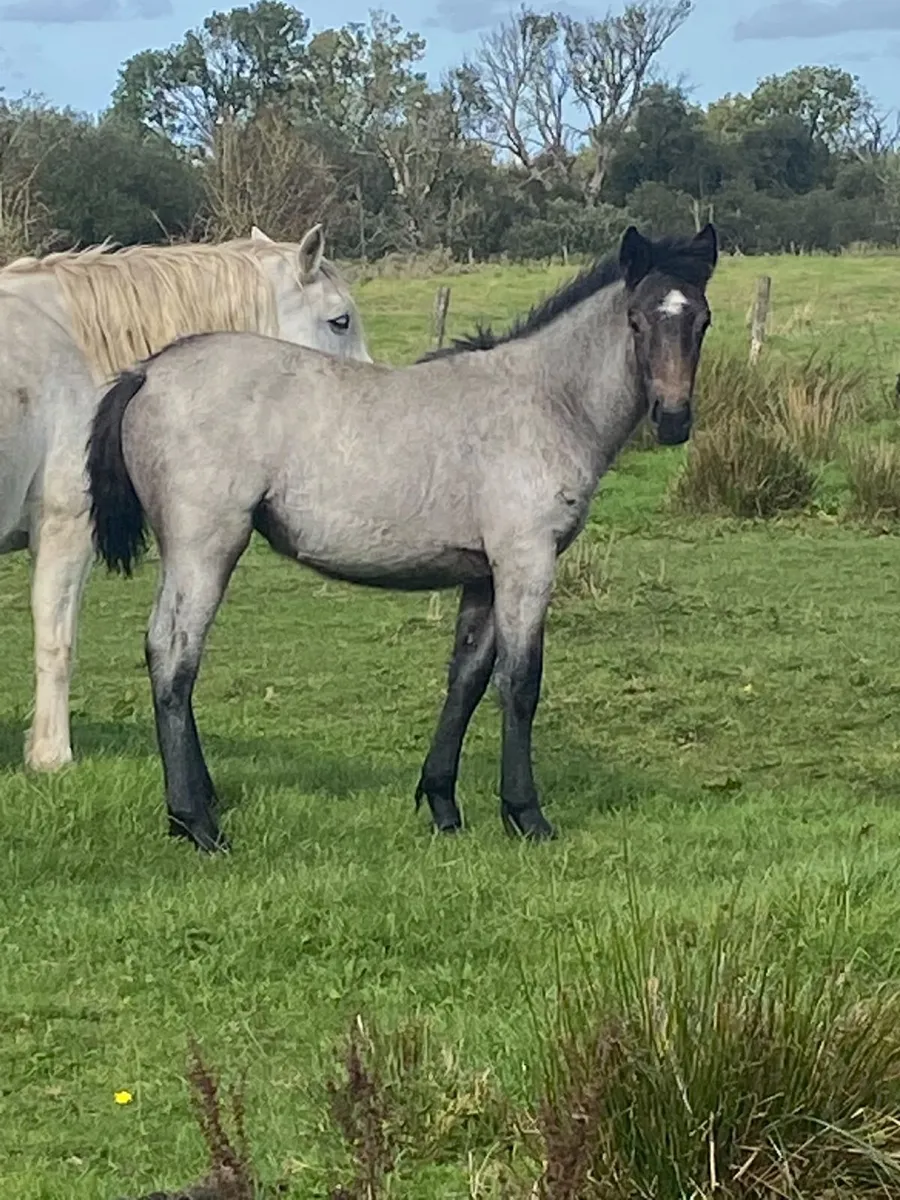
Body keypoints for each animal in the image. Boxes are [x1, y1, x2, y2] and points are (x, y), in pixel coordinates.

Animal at [86, 223, 718, 852]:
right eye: (635, 320)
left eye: (702, 320)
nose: (672, 419)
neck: (545, 401)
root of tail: (147, 372)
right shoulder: (526, 561)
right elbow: (520, 683)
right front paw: (525, 815)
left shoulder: (483, 573)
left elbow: (467, 679)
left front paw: (442, 804)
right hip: (204, 548)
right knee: (174, 656)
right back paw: (195, 821)